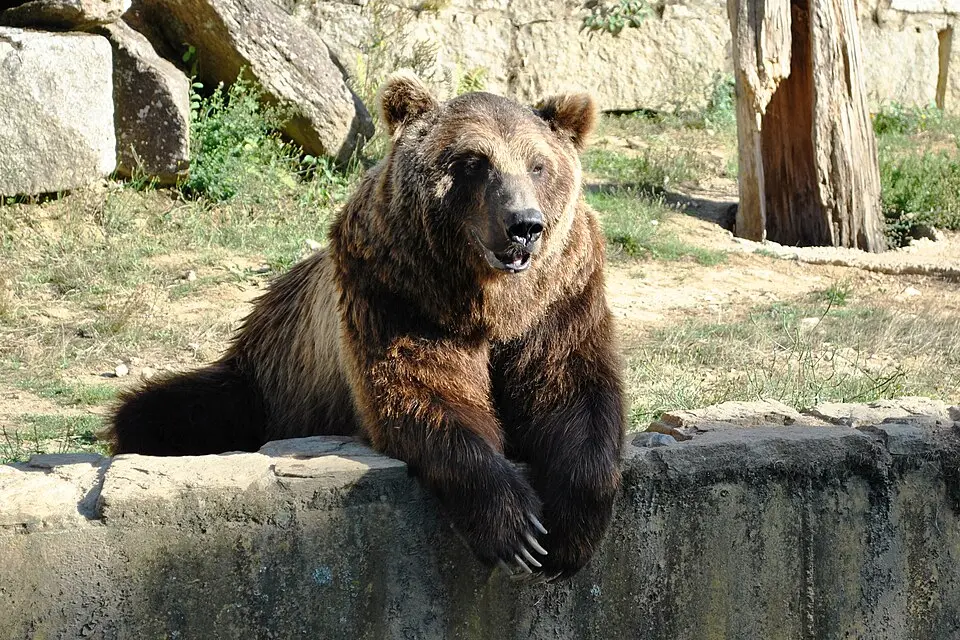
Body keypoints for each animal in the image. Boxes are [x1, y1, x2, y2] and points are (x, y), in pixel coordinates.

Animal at [104, 71, 625, 582]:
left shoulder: (560, 299)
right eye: (474, 161)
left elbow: (572, 391)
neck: (489, 301)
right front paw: (515, 527)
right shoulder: (396, 293)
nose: (524, 224)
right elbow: (421, 393)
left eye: (538, 165)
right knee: (160, 409)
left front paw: (568, 531)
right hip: (268, 380)